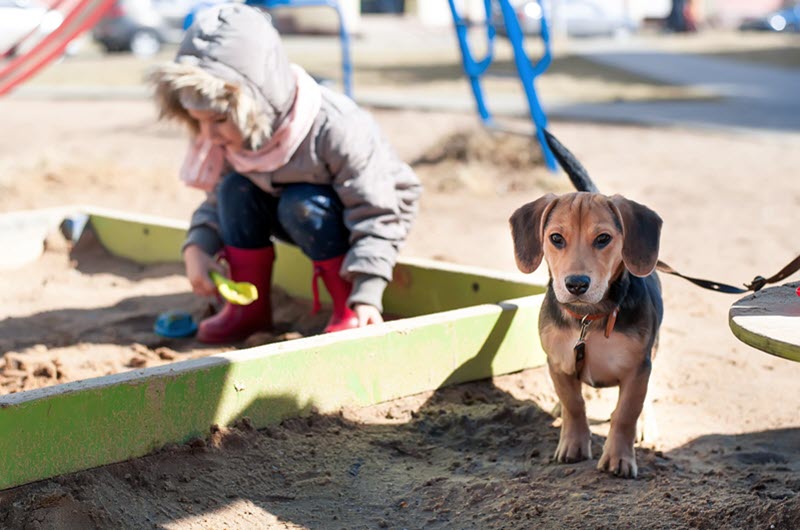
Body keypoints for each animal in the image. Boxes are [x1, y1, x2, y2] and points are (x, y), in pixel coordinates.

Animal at [510, 130, 664, 476]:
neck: (588, 318)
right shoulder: (558, 362)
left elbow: (625, 414)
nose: (576, 284)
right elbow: (574, 403)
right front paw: (574, 443)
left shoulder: (638, 369)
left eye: (603, 239)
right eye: (556, 238)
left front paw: (619, 457)